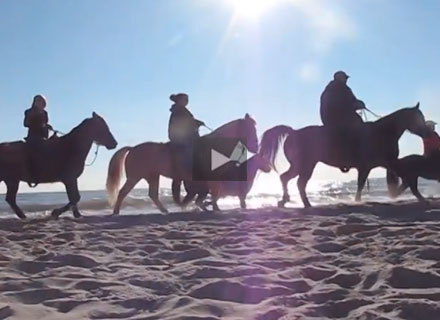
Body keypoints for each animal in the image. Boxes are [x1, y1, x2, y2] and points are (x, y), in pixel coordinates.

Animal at [106, 114, 258, 214]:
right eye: (250, 129)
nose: (256, 147)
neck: (213, 147)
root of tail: (132, 148)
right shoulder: (210, 178)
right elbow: (213, 193)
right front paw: (214, 208)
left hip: (152, 176)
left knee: (153, 194)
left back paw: (165, 211)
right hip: (135, 177)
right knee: (123, 192)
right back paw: (116, 212)